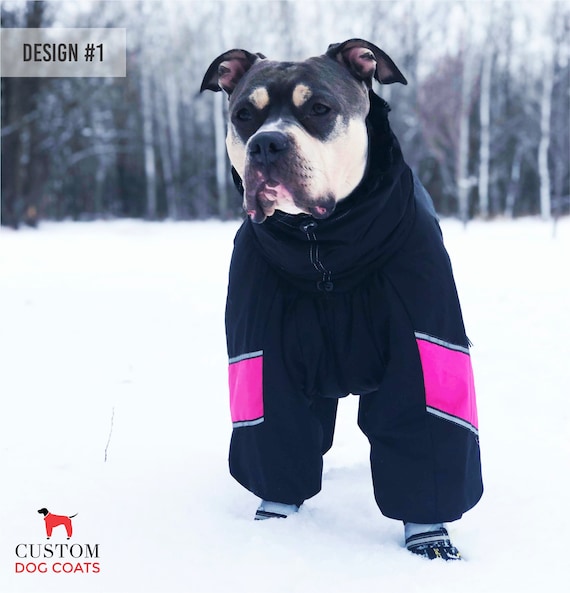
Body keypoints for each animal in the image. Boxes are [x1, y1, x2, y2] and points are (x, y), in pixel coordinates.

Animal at [202, 38, 482, 560]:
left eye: (319, 109)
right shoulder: (263, 360)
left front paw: (431, 543)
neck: (323, 251)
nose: (267, 144)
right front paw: (273, 524)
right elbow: (276, 435)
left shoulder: (422, 351)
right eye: (244, 115)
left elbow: (425, 433)